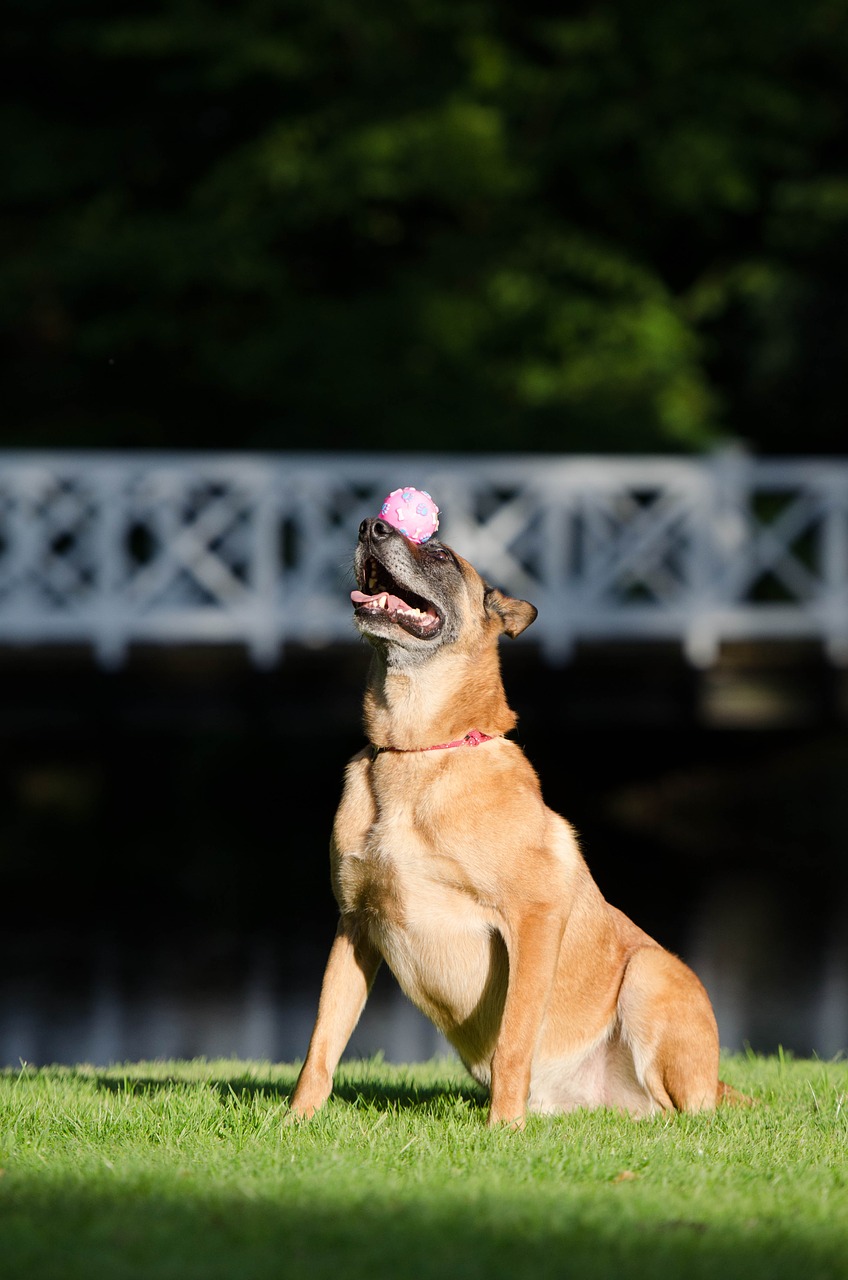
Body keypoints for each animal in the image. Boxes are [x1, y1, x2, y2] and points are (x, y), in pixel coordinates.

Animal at [292, 514, 732, 1126]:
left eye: (442, 555)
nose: (370, 525)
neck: (420, 751)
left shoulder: (533, 918)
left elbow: (514, 1041)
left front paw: (503, 1127)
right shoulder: (354, 925)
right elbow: (321, 1044)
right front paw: (294, 1120)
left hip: (651, 975)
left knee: (685, 1112)